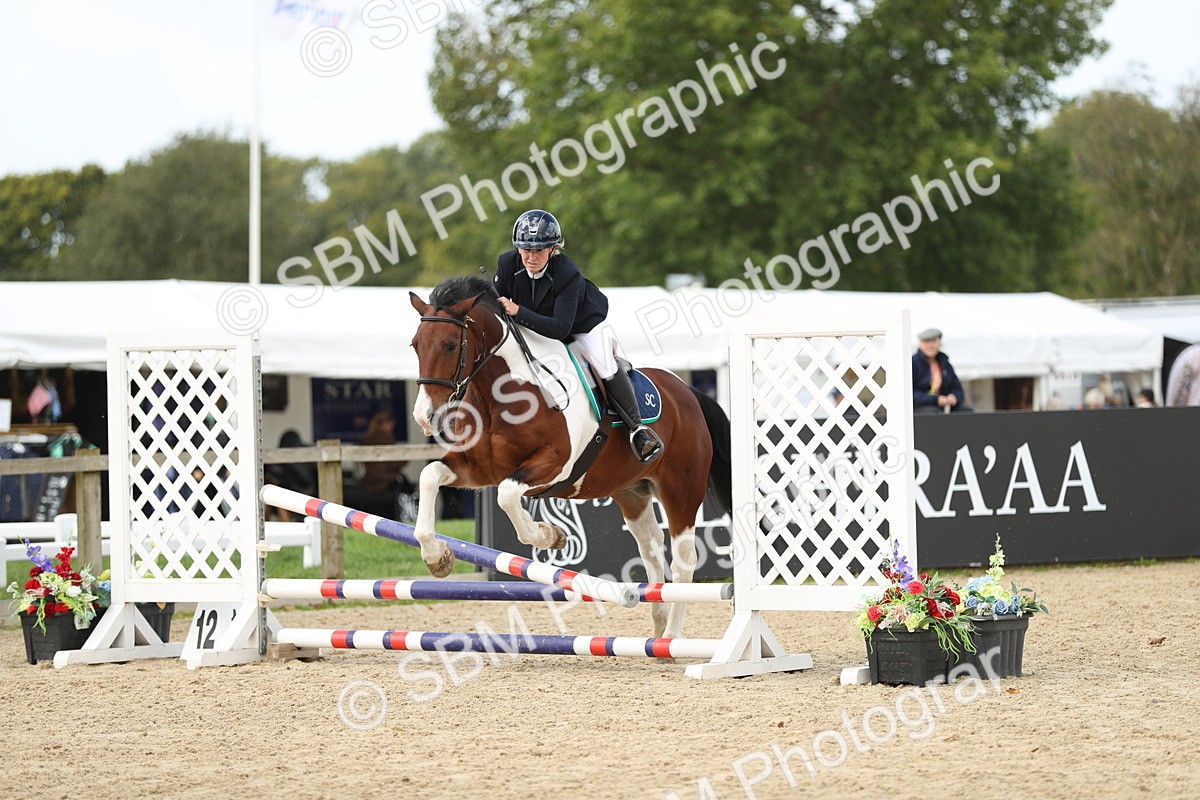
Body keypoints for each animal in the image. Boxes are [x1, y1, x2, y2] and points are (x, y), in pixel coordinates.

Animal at [407, 275, 732, 639]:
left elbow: (508, 494)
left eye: (451, 345)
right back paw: (658, 629)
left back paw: (672, 637)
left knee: (683, 559)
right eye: (415, 345)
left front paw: (550, 536)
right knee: (650, 546)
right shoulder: (480, 468)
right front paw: (437, 558)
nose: (424, 416)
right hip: (633, 492)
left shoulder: (555, 464)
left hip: (682, 490)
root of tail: (688, 393)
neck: (503, 393)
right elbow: (431, 476)